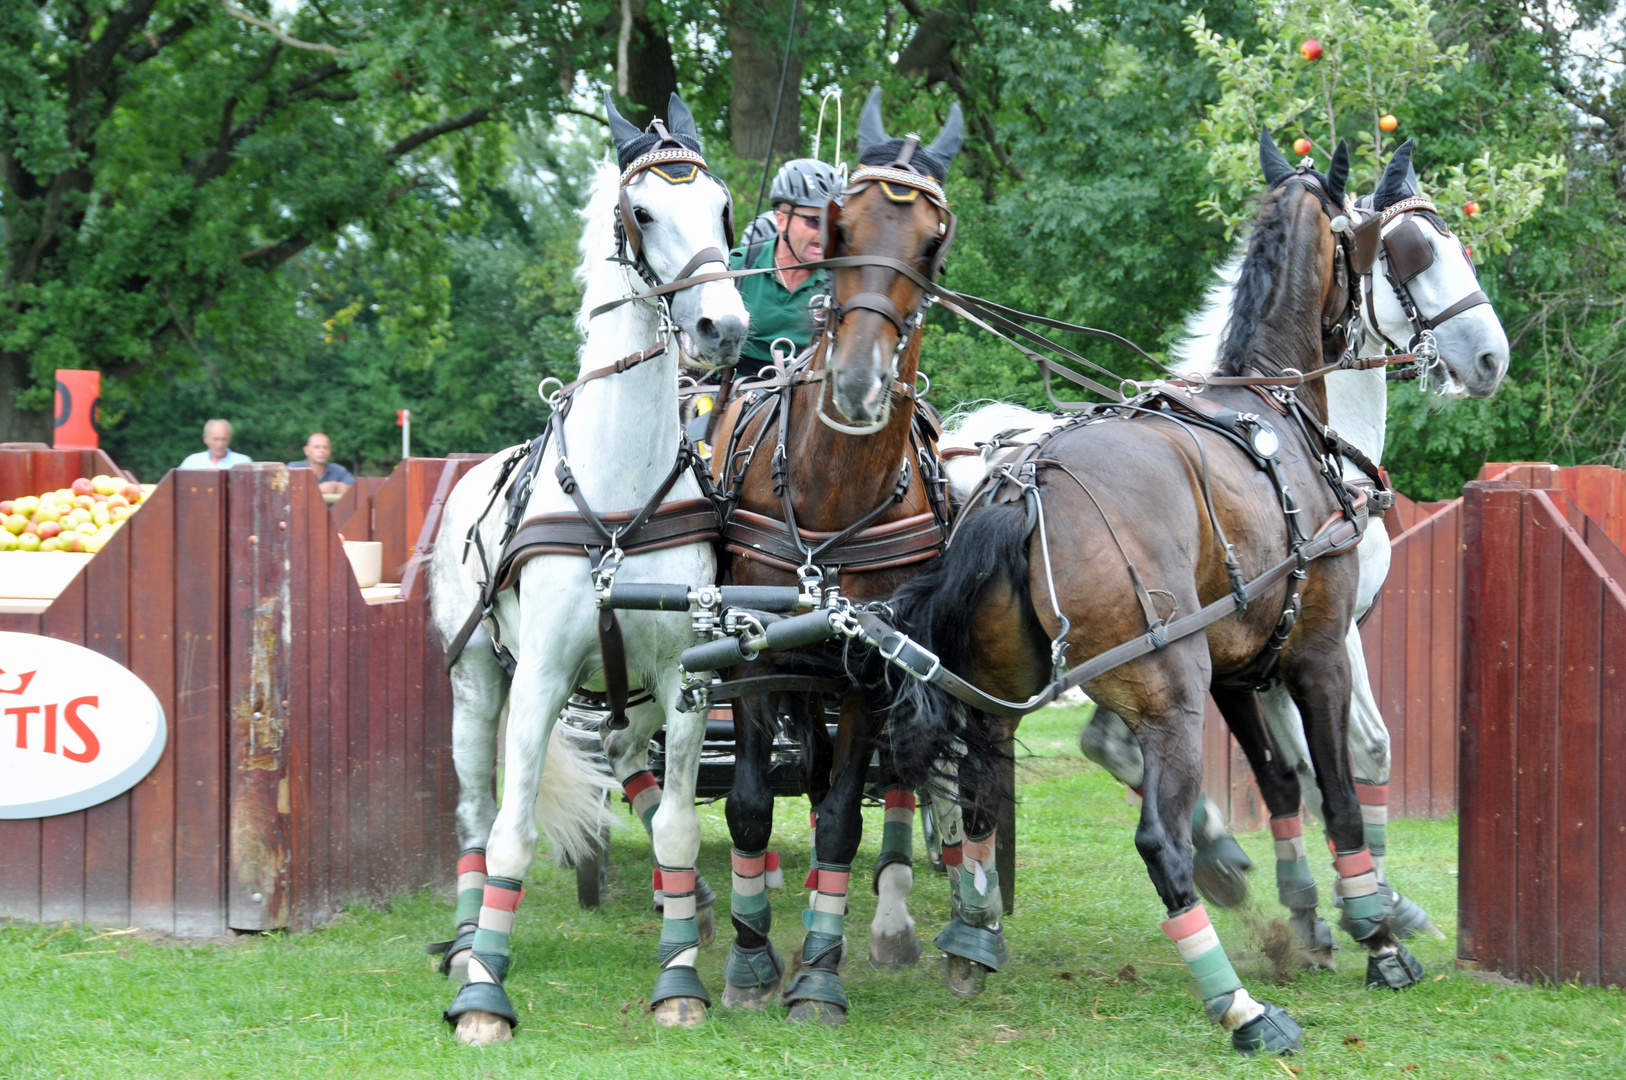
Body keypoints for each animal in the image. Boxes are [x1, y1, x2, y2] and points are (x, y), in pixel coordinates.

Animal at [422, 97, 744, 1040]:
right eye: (642, 212)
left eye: (722, 209)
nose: (723, 328)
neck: (617, 483)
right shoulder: (538, 677)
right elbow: (511, 832)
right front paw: (483, 994)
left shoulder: (685, 678)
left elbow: (675, 827)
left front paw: (680, 978)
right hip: (477, 686)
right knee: (476, 813)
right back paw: (466, 939)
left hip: (628, 695)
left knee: (631, 767)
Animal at [702, 88, 956, 1027]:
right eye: (838, 225)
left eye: (933, 242)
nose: (856, 385)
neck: (832, 491)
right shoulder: (750, 658)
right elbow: (746, 804)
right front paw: (748, 963)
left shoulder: (867, 668)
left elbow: (844, 812)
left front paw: (818, 973)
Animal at [878, 128, 1463, 1053]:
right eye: (1409, 246)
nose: (1482, 358)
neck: (1267, 399)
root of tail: (1020, 485)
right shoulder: (1320, 653)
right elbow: (1338, 792)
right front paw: (1376, 932)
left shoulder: (1240, 668)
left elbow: (1282, 784)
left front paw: (1313, 916)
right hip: (1170, 697)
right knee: (1158, 841)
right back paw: (1240, 1006)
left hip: (996, 700)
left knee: (974, 802)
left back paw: (973, 937)